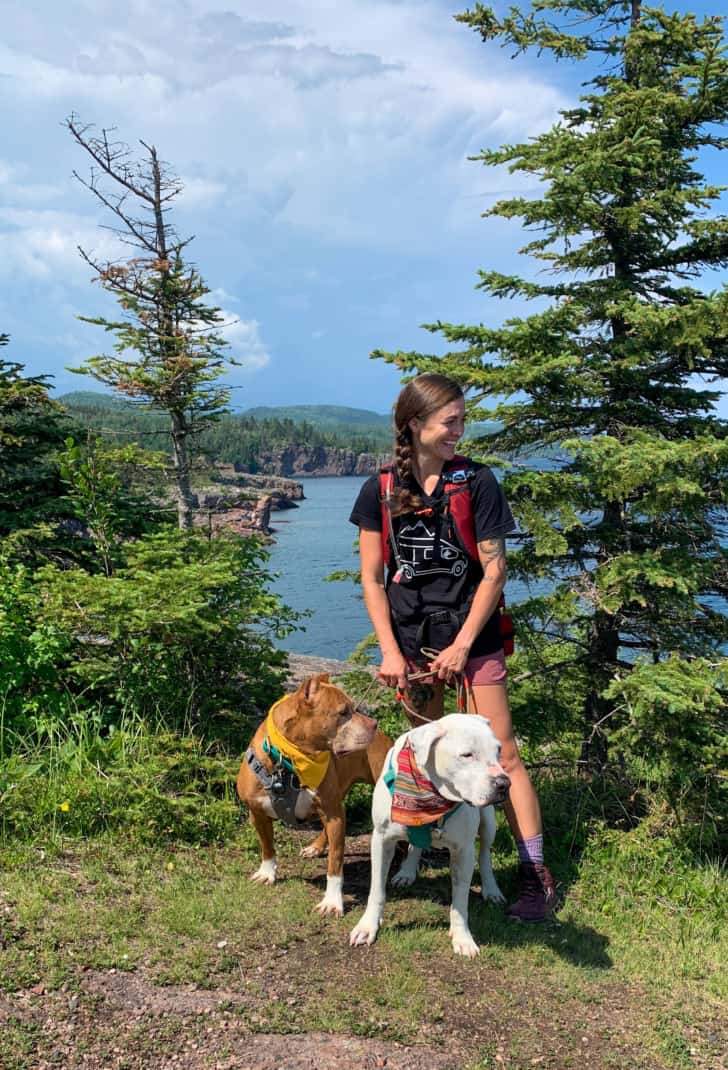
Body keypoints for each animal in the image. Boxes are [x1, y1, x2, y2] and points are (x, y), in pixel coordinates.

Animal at [237, 671, 391, 915]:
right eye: (343, 712)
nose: (374, 724)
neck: (290, 759)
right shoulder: (257, 811)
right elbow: (267, 845)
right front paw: (267, 873)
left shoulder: (333, 812)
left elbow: (335, 863)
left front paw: (332, 901)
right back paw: (316, 847)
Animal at [349, 714, 509, 958]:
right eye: (467, 755)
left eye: (498, 750)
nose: (504, 783)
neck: (431, 794)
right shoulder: (381, 840)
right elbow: (376, 889)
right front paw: (368, 926)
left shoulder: (464, 850)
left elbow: (460, 900)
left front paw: (463, 938)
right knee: (415, 845)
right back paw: (406, 872)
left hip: (488, 823)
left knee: (485, 855)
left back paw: (491, 889)